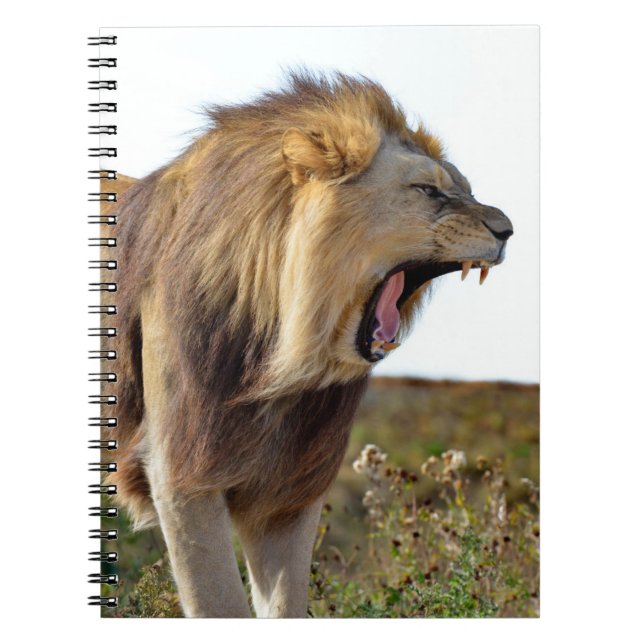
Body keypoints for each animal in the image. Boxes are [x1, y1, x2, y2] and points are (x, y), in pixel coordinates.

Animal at [100, 72, 513, 617]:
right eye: (427, 190)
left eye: (466, 189)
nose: (508, 230)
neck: (280, 363)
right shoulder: (181, 476)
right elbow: (220, 603)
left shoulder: (290, 490)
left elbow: (286, 603)